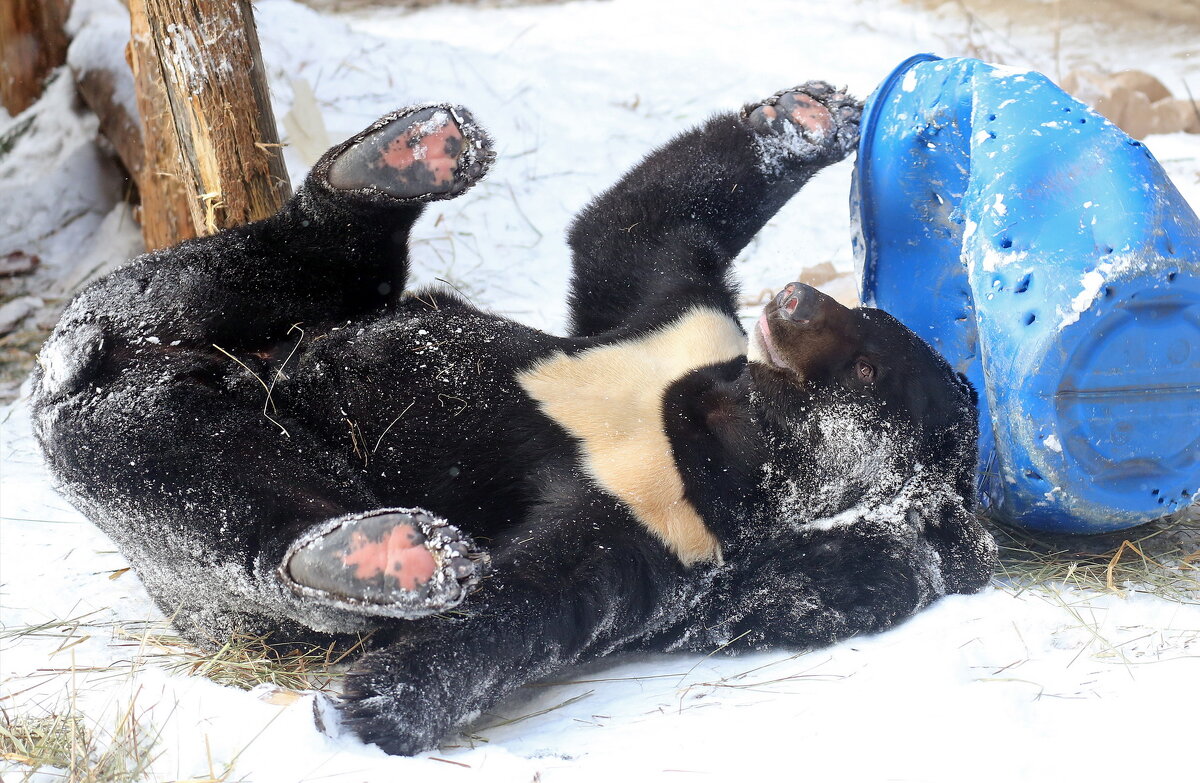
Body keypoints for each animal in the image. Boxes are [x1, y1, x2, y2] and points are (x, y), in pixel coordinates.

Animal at [32, 79, 998, 754]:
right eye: (865, 317)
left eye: (866, 361)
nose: (795, 298)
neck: (716, 428)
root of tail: (79, 371)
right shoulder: (661, 332)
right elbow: (635, 230)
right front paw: (809, 114)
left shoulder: (664, 531)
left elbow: (539, 600)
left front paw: (370, 700)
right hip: (182, 315)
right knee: (281, 272)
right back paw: (408, 153)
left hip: (166, 493)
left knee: (206, 481)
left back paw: (380, 552)